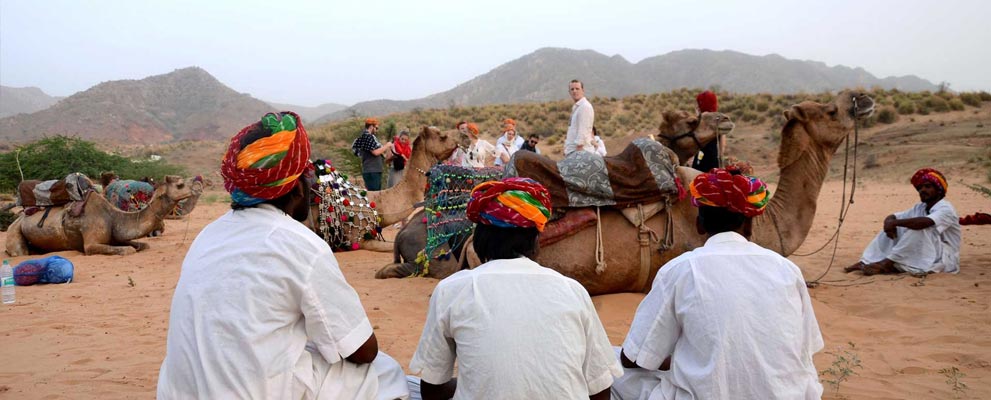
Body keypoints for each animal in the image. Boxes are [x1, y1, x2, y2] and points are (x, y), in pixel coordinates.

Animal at [5, 175, 194, 256]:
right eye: (180, 185)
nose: (195, 186)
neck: (114, 217)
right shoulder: (91, 244)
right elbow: (128, 250)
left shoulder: (116, 236)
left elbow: (142, 245)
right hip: (14, 230)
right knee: (19, 252)